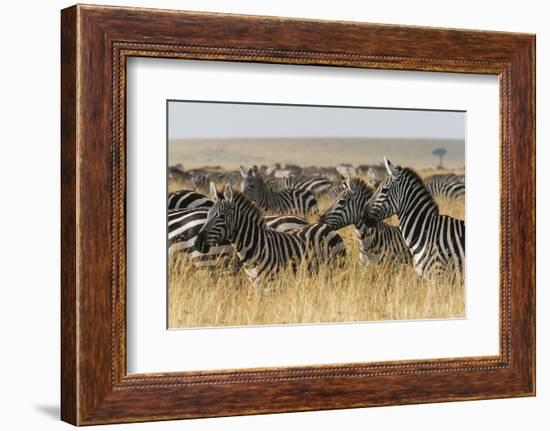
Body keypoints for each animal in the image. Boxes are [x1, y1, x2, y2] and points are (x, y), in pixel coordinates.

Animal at [196, 183, 348, 286]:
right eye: (207, 215)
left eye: (221, 216)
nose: (197, 242)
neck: (255, 245)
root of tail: (326, 227)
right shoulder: (256, 284)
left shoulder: (270, 284)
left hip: (335, 269)